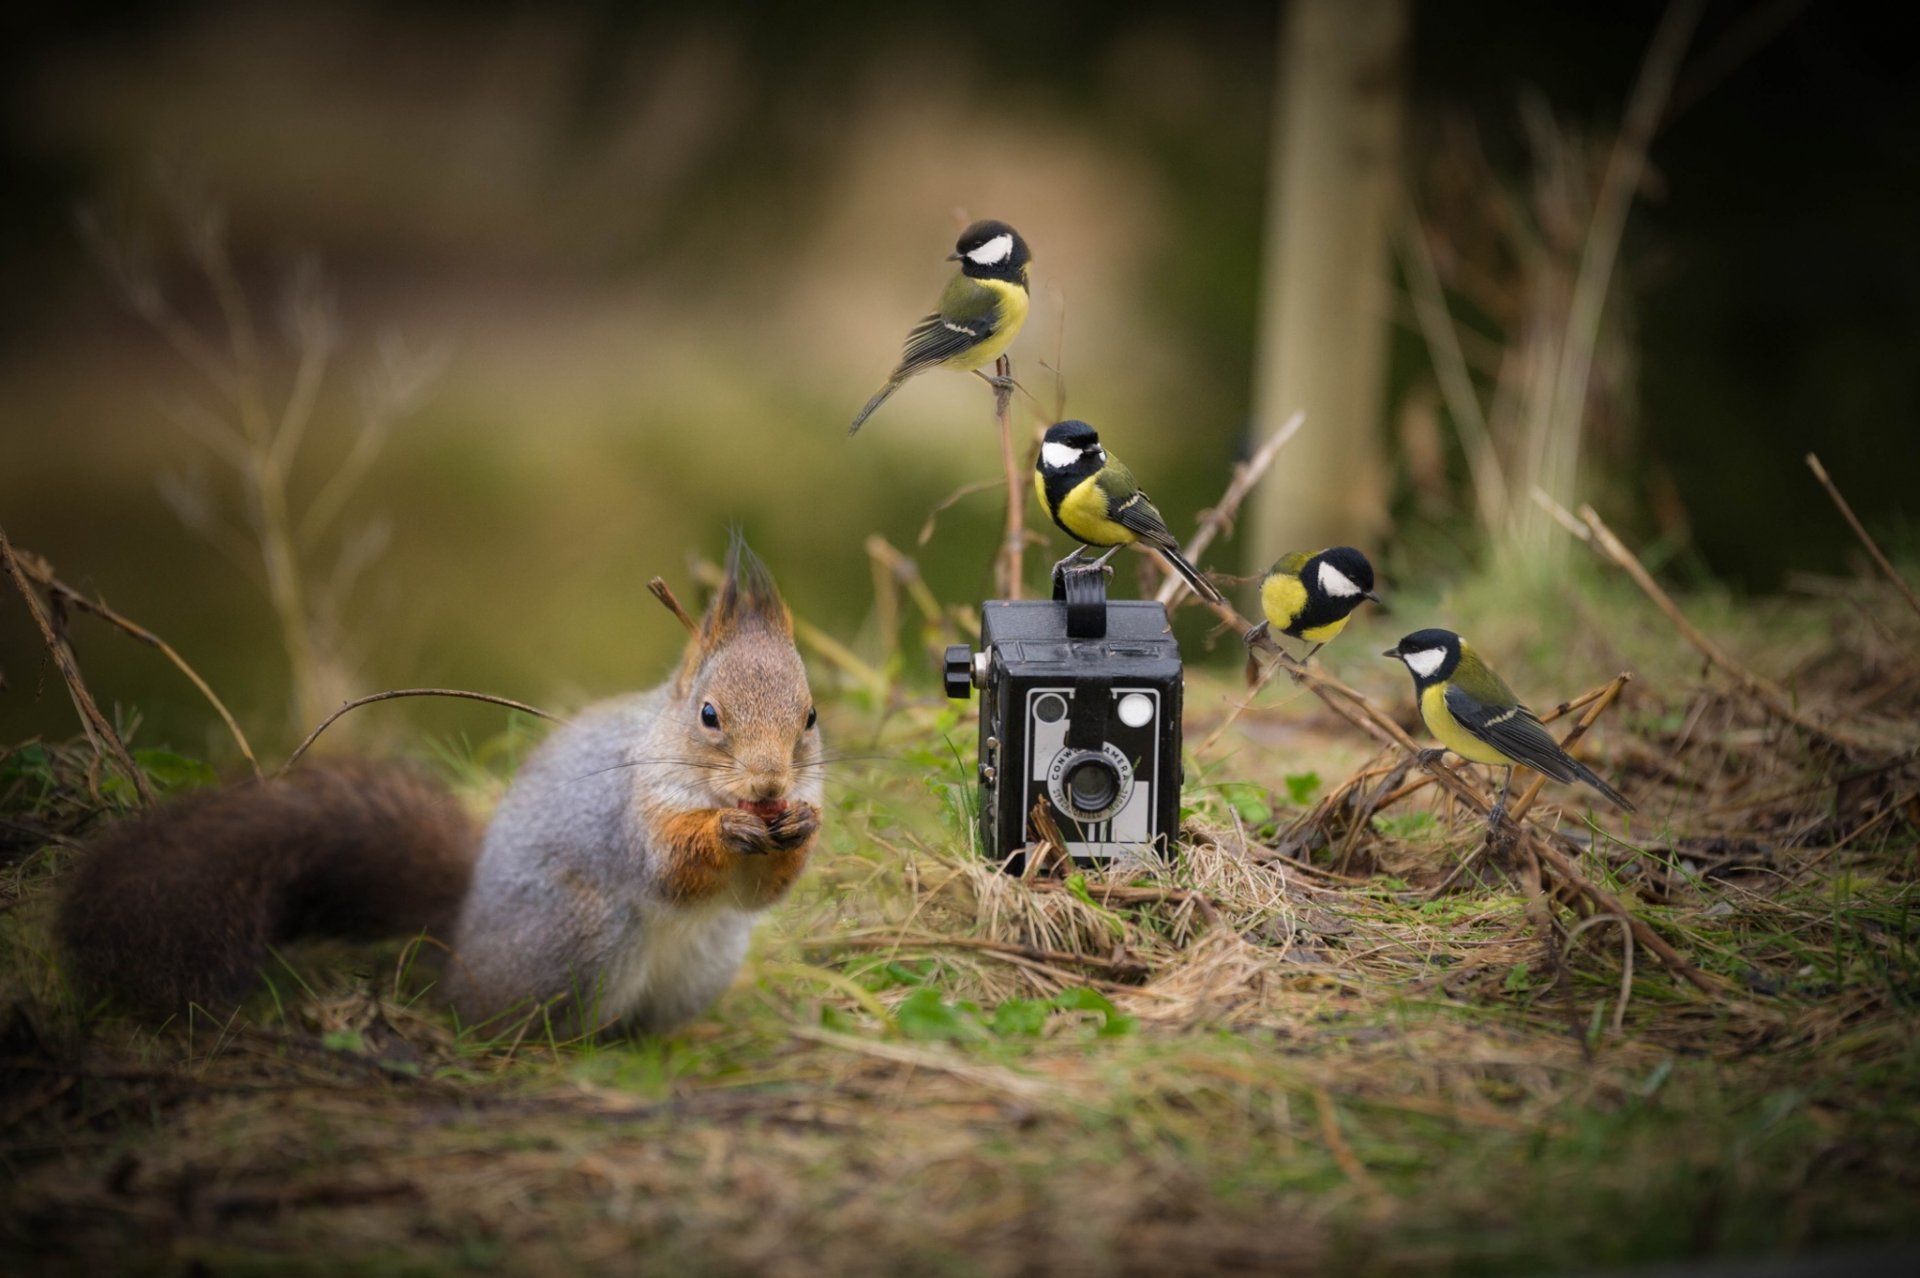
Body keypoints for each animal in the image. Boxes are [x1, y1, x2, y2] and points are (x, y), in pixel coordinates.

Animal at [56, 538, 824, 1037]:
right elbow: (668, 868)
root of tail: (457, 948)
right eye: (709, 716)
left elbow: (760, 894)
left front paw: (799, 830)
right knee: (497, 1021)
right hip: (576, 936)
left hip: (705, 962)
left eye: (811, 716)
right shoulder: (628, 813)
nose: (768, 787)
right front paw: (727, 831)